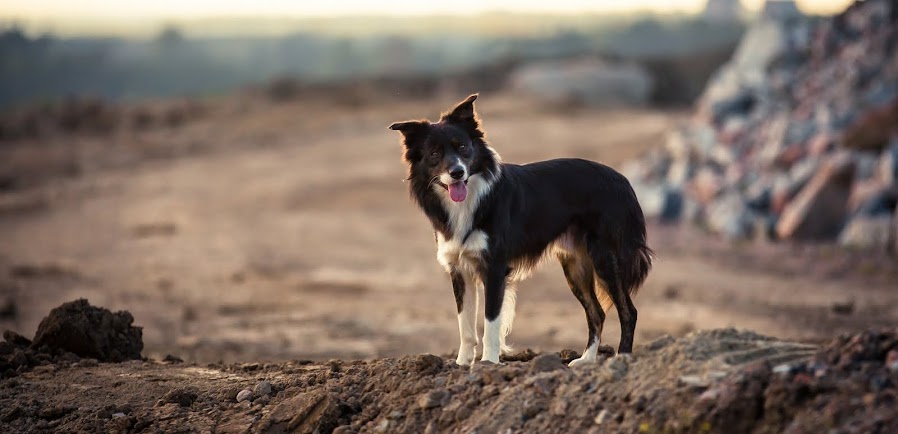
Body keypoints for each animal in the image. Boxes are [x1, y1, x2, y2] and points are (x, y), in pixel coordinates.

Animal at [386, 95, 652, 366]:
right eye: (434, 153)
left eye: (462, 147)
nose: (457, 172)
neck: (472, 198)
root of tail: (623, 180)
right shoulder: (460, 269)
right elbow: (465, 325)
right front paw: (461, 364)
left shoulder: (494, 268)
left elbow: (491, 322)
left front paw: (488, 363)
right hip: (575, 265)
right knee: (596, 312)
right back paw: (586, 360)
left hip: (605, 258)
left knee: (628, 311)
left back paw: (622, 357)